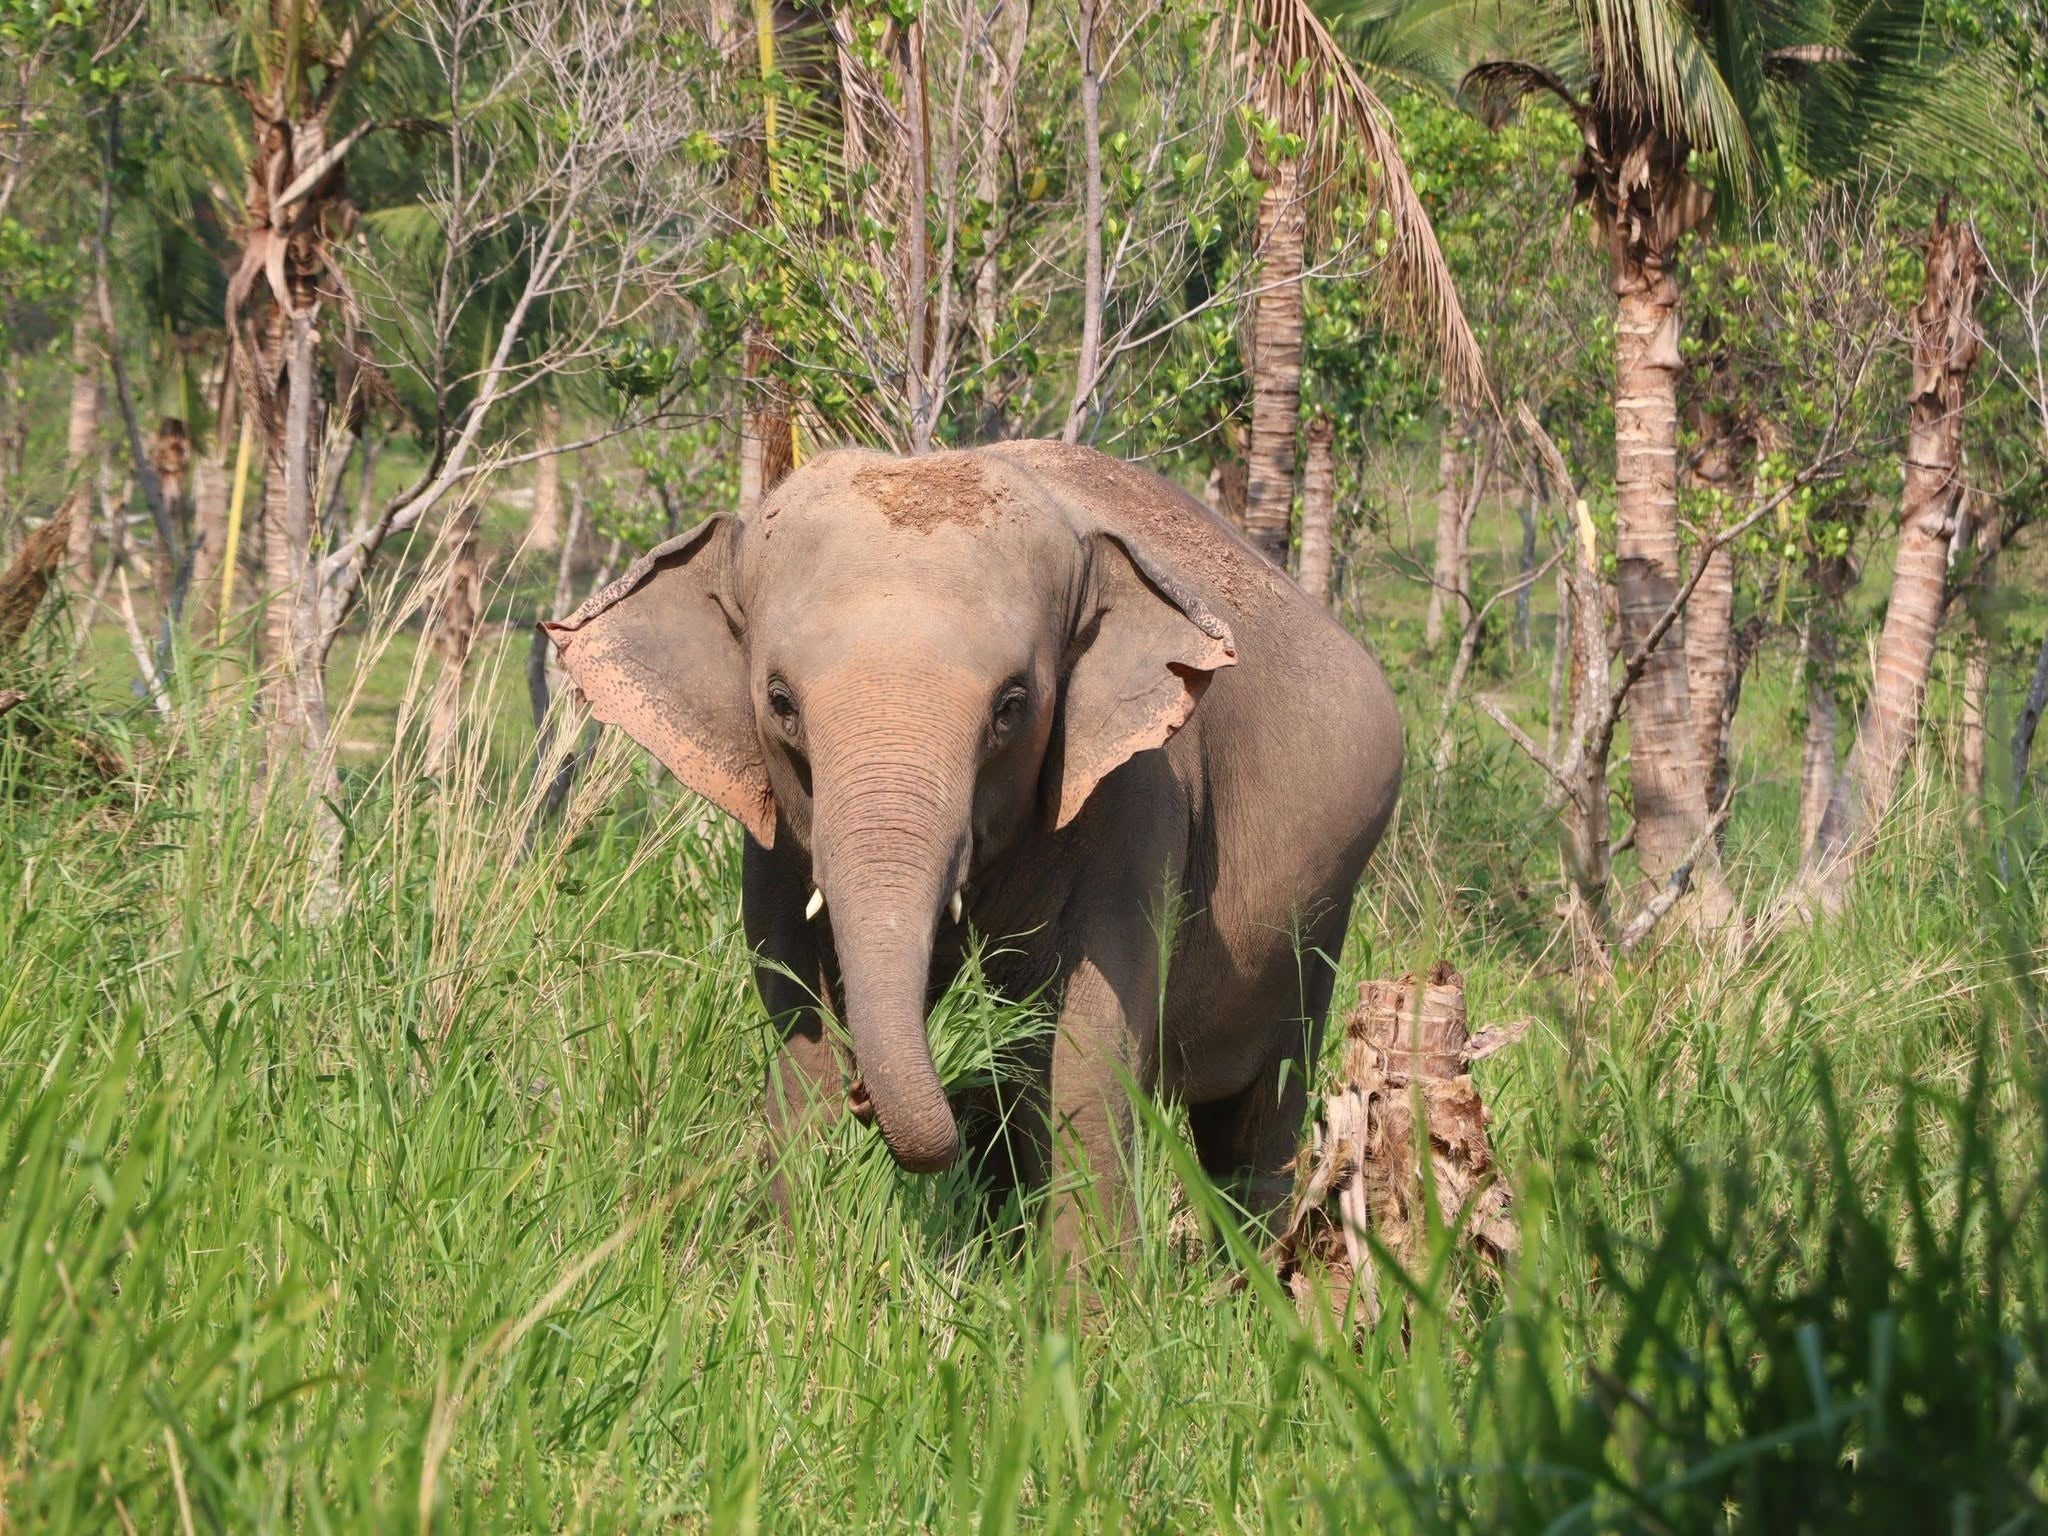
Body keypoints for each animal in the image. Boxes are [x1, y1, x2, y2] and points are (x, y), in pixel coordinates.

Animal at [543, 440, 1402, 1255]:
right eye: (781, 702)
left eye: (1011, 706)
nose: (871, 1095)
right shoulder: (777, 835)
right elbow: (800, 1031)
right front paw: (789, 1269)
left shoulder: (1140, 800)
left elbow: (1084, 1052)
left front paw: (1088, 1310)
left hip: (1319, 920)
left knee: (1260, 1117)